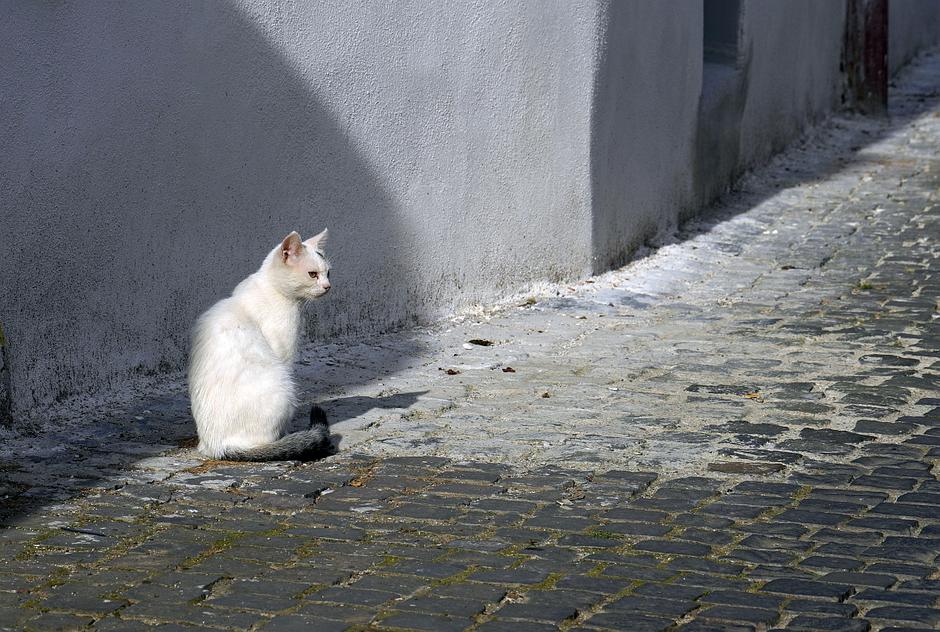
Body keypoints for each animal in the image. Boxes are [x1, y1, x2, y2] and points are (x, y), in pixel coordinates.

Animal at [189, 230, 332, 462]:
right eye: (313, 274)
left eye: (329, 273)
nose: (328, 286)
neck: (269, 287)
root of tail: (218, 447)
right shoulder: (282, 350)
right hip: (283, 384)